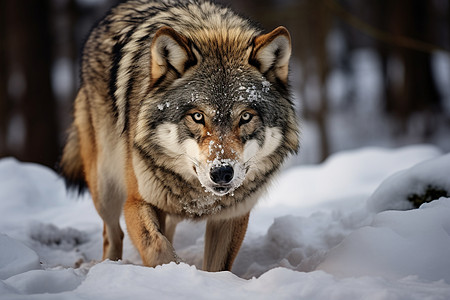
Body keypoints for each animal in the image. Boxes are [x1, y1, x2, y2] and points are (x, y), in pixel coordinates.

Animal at [59, 0, 298, 272]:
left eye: (246, 117)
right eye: (197, 116)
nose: (222, 172)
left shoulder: (232, 216)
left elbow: (216, 267)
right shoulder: (137, 201)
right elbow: (157, 247)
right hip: (105, 189)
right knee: (112, 234)